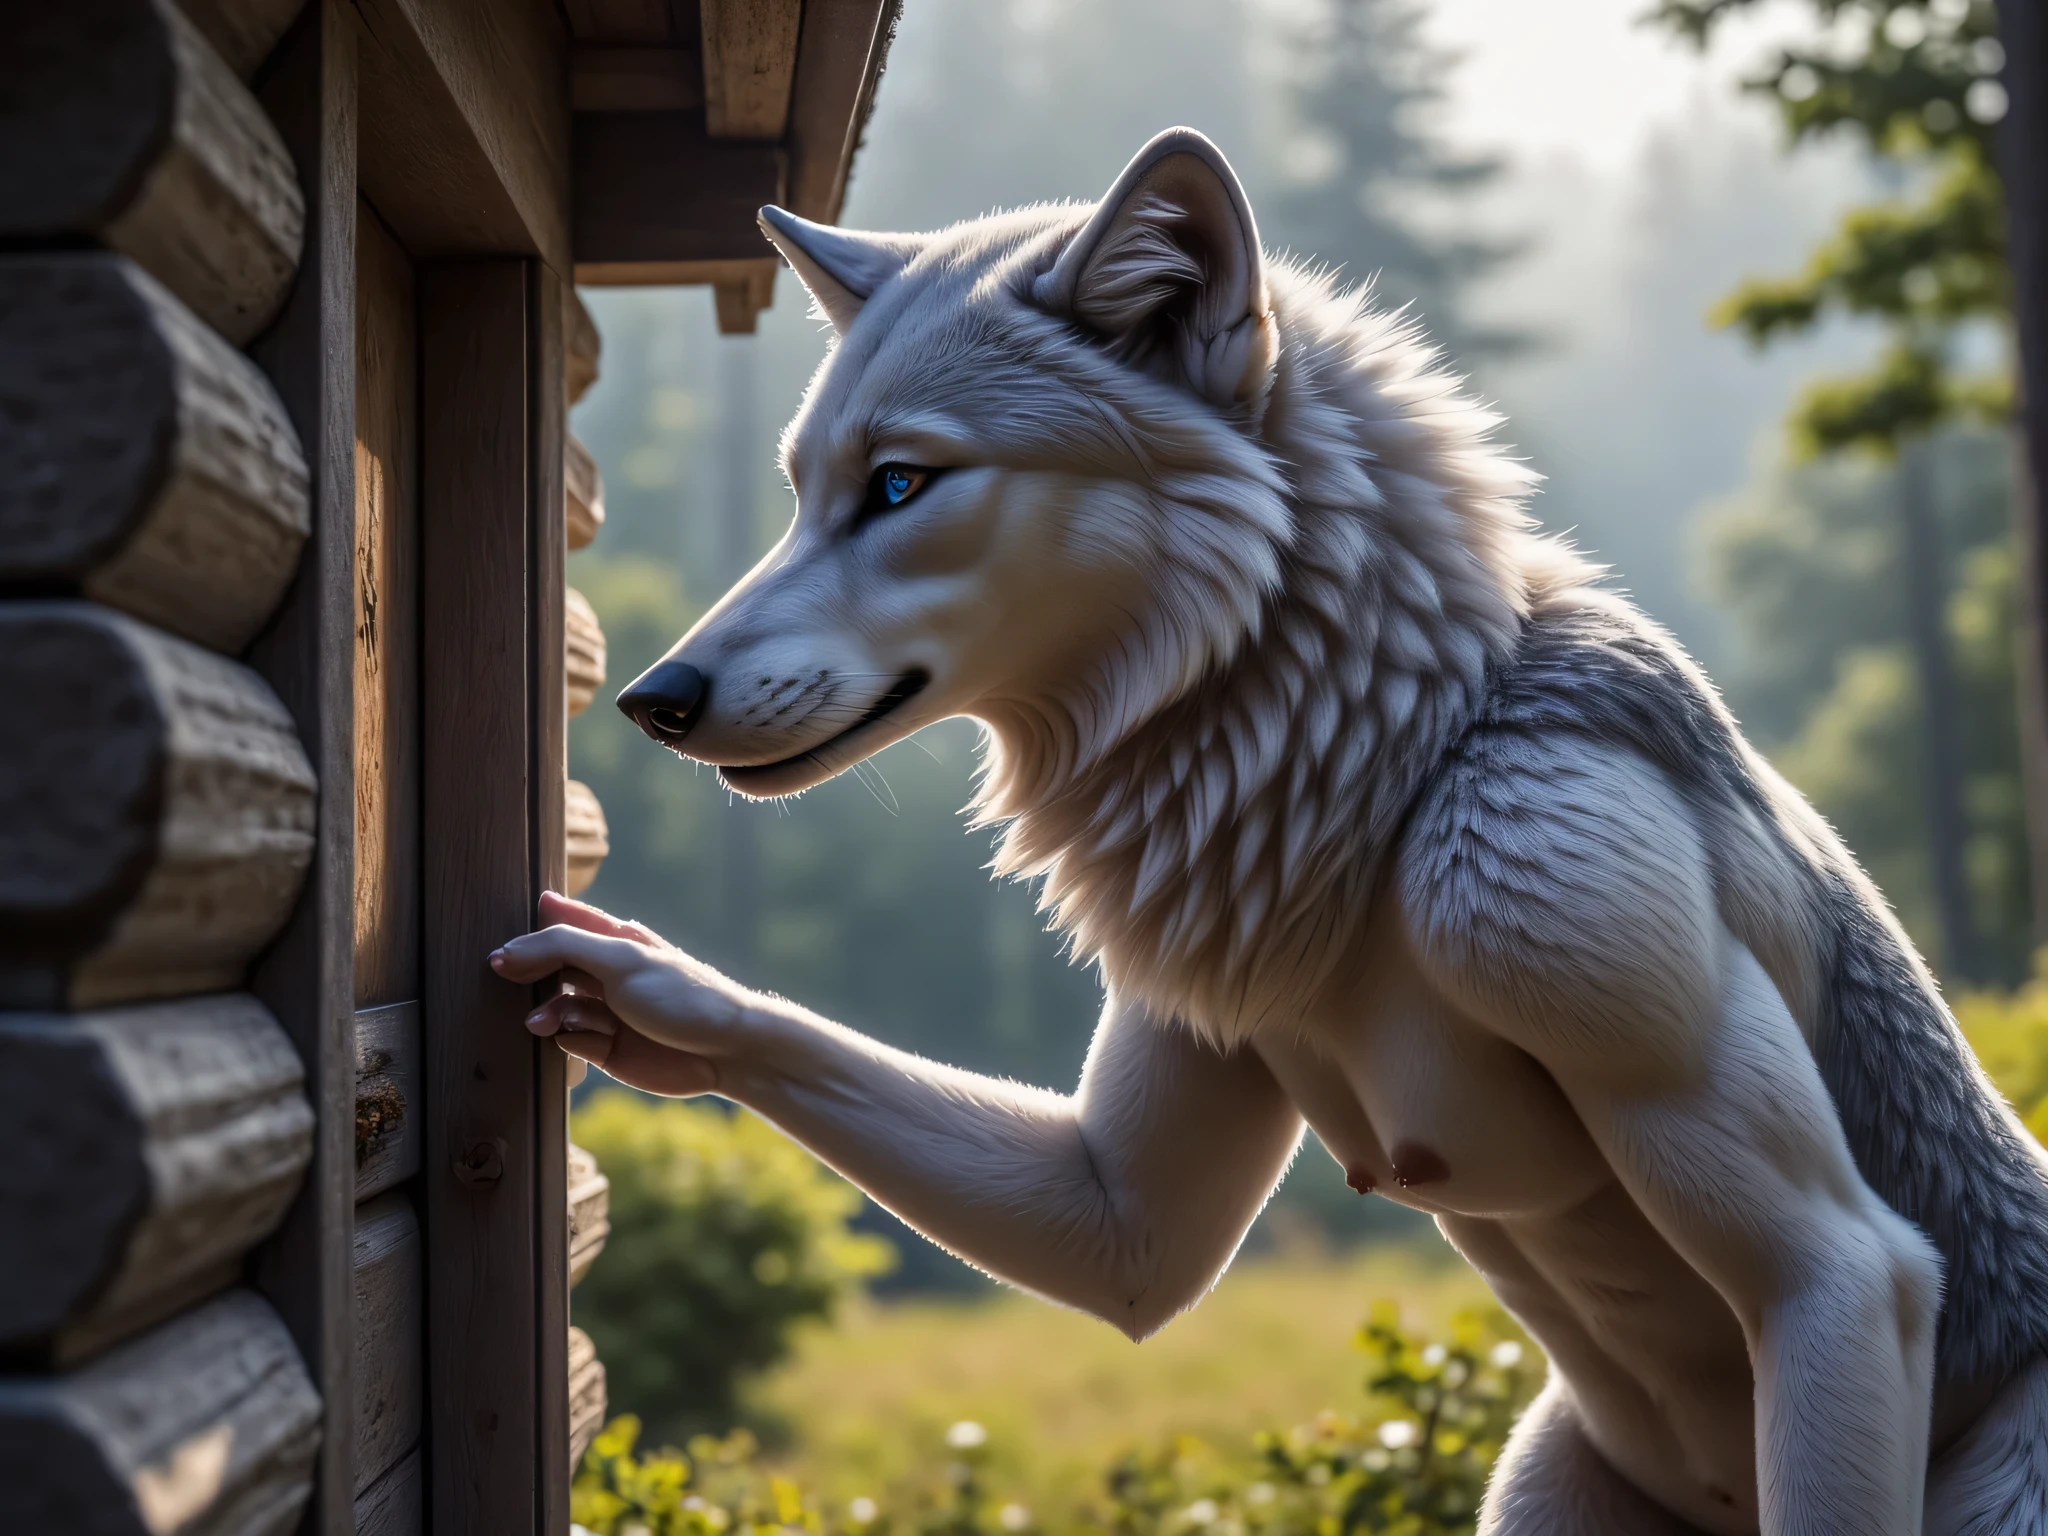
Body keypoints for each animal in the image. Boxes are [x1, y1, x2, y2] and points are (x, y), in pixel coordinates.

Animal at [493, 130, 2048, 1533]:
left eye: (899, 484)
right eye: (804, 491)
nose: (647, 700)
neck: (1391, 762)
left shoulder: (1559, 890)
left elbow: (1827, 1264)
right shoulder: (1151, 1141)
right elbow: (1123, 1237)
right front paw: (644, 994)